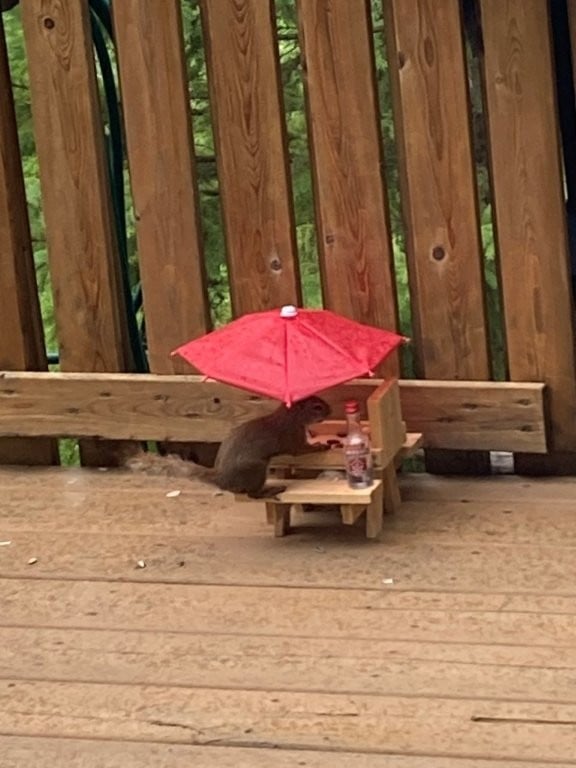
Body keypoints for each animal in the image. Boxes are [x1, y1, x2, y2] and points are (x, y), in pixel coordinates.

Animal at [125, 395, 331, 498]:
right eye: (317, 407)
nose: (330, 411)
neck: (291, 417)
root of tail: (221, 479)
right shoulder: (291, 437)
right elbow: (301, 449)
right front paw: (322, 446)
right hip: (255, 469)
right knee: (252, 494)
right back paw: (272, 490)